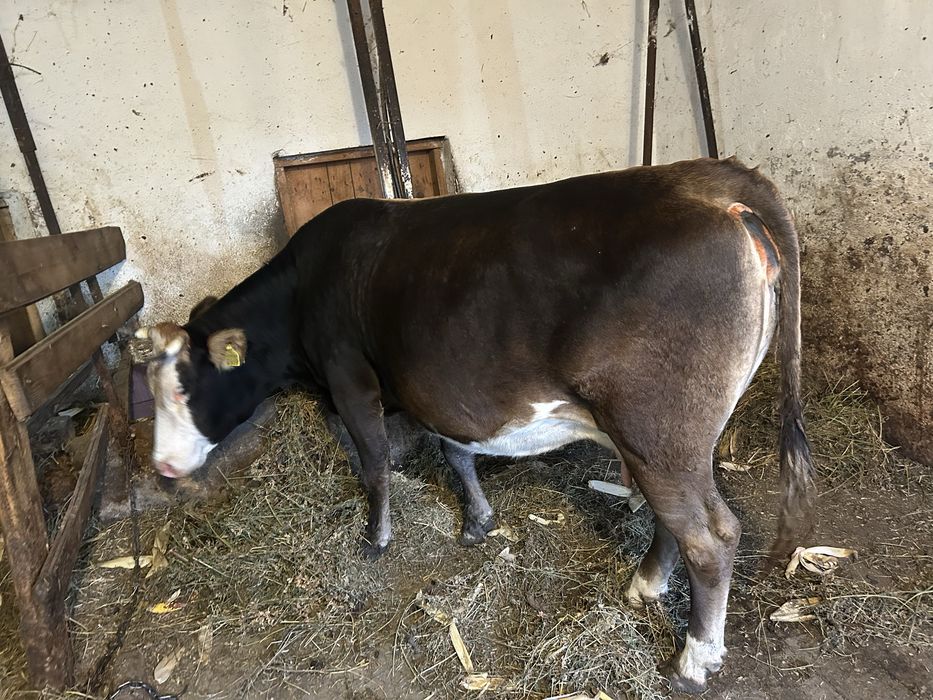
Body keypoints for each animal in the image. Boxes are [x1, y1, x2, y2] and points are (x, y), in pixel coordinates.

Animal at [137, 157, 814, 693]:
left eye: (183, 389)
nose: (162, 465)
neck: (306, 291)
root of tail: (701, 177)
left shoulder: (350, 378)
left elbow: (375, 463)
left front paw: (376, 538)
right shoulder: (434, 390)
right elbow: (455, 454)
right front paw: (477, 521)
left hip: (658, 429)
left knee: (711, 535)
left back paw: (693, 660)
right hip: (667, 440)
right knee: (679, 520)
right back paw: (645, 585)